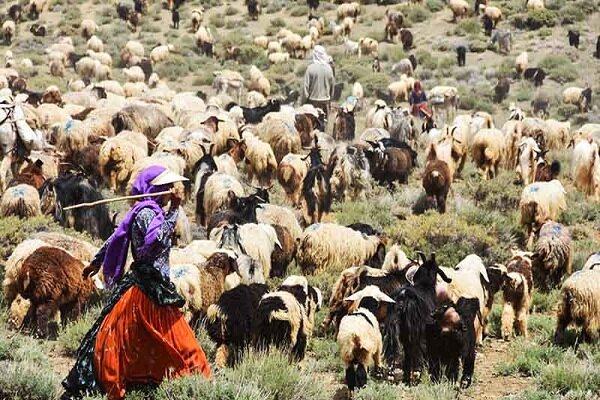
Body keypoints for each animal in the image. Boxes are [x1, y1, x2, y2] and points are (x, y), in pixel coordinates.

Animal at [384, 252, 450, 386]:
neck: (424, 286)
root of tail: (403, 298)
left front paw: (406, 378)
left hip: (393, 328)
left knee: (394, 350)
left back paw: (392, 377)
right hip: (415, 330)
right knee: (416, 350)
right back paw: (416, 375)